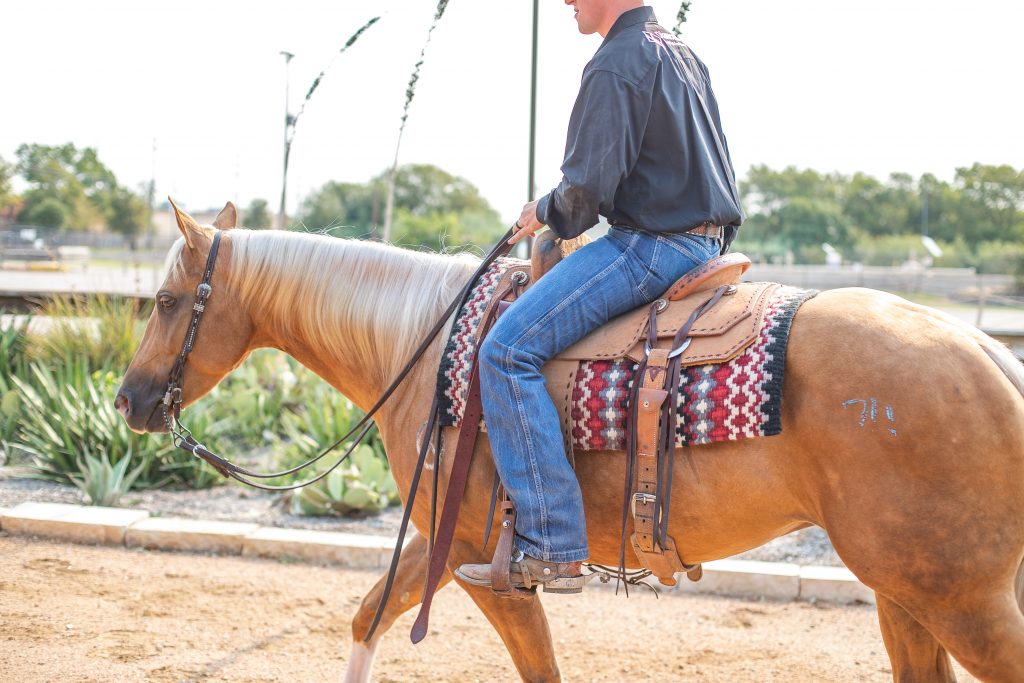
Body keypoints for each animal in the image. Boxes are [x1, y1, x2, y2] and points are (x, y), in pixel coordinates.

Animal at [116, 201, 1024, 682]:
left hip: (960, 600)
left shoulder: (484, 563)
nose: (128, 400)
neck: (429, 347)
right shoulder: (446, 545)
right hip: (906, 593)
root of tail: (993, 356)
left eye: (163, 300)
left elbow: (535, 664)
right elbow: (369, 614)